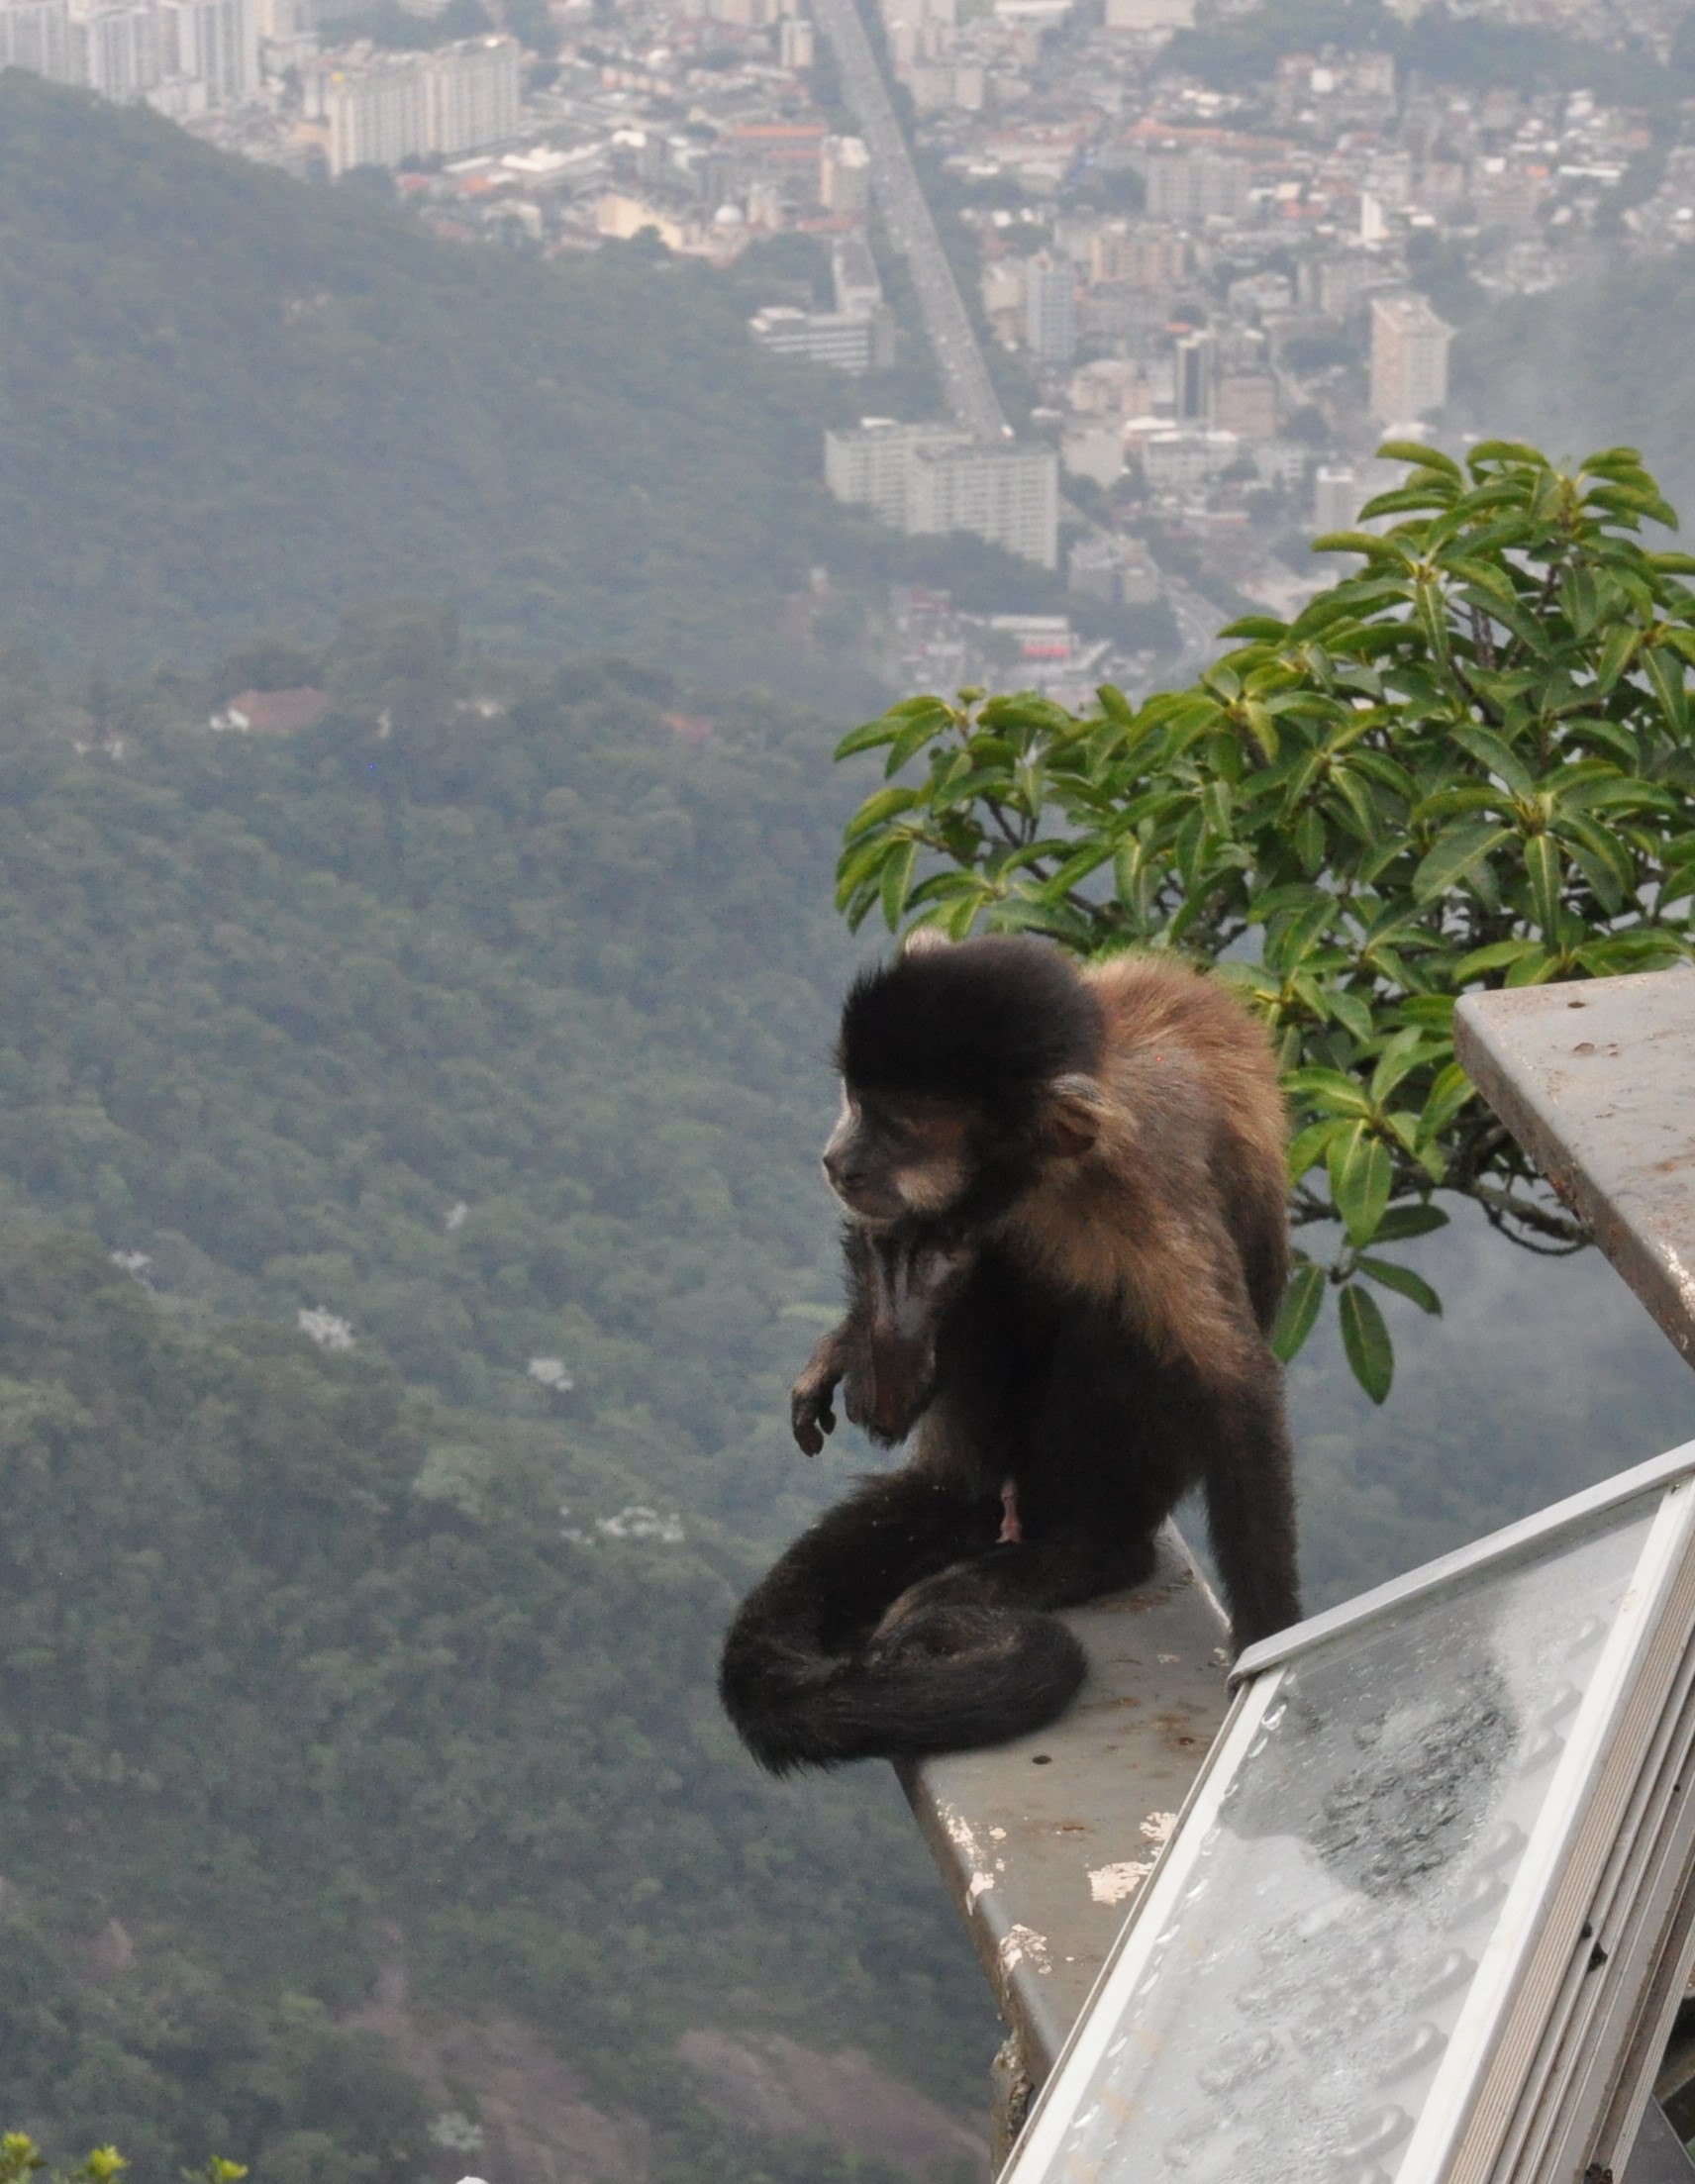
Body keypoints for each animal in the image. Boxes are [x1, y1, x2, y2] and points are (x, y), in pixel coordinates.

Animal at [716, 935, 1301, 1773]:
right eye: (856, 1102)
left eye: (896, 1130)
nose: (838, 1159)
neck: (1039, 1177)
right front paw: (850, 1342)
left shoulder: (1144, 1189)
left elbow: (1233, 1386)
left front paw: (1269, 1642)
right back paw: (900, 1363)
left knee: (1111, 1319)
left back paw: (1086, 1554)